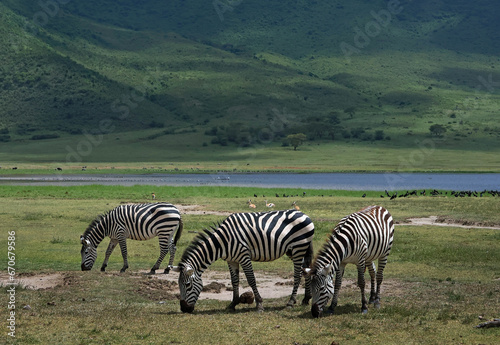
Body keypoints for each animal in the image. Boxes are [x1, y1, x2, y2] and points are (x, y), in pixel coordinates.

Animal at [170, 210, 314, 312]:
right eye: (179, 284)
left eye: (187, 285)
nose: (184, 309)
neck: (222, 242)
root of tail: (304, 214)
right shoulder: (231, 260)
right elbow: (234, 281)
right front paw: (233, 304)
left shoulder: (244, 257)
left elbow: (251, 279)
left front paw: (259, 304)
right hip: (293, 250)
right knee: (305, 268)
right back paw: (306, 299)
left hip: (298, 248)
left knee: (297, 274)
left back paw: (290, 302)